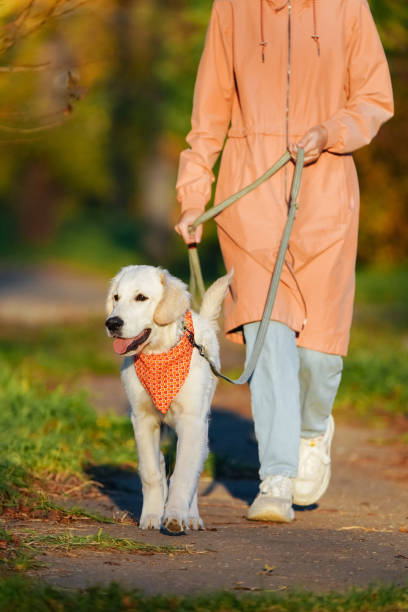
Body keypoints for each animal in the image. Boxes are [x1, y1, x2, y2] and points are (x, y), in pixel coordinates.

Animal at [105, 266, 231, 532]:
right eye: (116, 297)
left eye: (141, 297)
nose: (112, 322)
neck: (159, 353)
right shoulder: (143, 419)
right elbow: (151, 472)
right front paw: (152, 515)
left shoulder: (191, 423)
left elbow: (183, 474)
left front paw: (174, 516)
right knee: (161, 462)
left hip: (202, 430)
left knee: (194, 469)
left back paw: (191, 516)